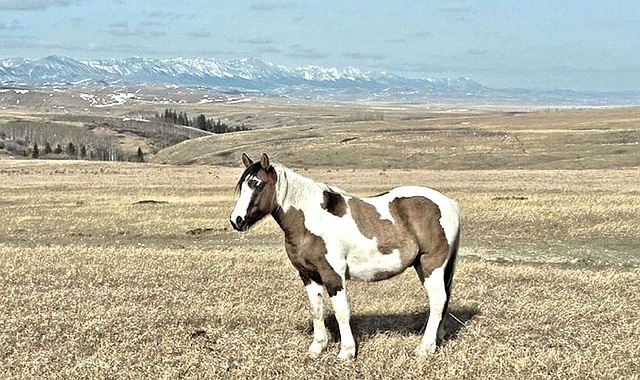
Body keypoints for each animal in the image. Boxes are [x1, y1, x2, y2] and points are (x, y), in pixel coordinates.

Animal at [230, 152, 460, 360]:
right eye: (242, 186)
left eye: (258, 184)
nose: (236, 220)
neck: (311, 219)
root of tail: (449, 203)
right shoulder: (308, 275)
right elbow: (316, 309)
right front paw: (317, 348)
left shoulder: (333, 275)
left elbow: (342, 311)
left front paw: (346, 352)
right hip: (425, 267)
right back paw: (436, 342)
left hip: (431, 265)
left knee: (438, 301)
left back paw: (424, 348)